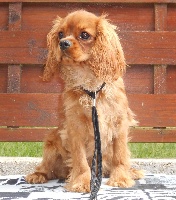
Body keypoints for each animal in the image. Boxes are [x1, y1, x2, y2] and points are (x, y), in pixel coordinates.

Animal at [26, 10, 144, 193]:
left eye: (84, 35)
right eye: (60, 34)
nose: (63, 43)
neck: (91, 88)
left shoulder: (119, 123)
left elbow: (120, 155)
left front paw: (121, 178)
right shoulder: (75, 128)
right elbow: (80, 161)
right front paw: (82, 182)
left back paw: (131, 172)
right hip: (52, 141)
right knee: (46, 167)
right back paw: (38, 175)